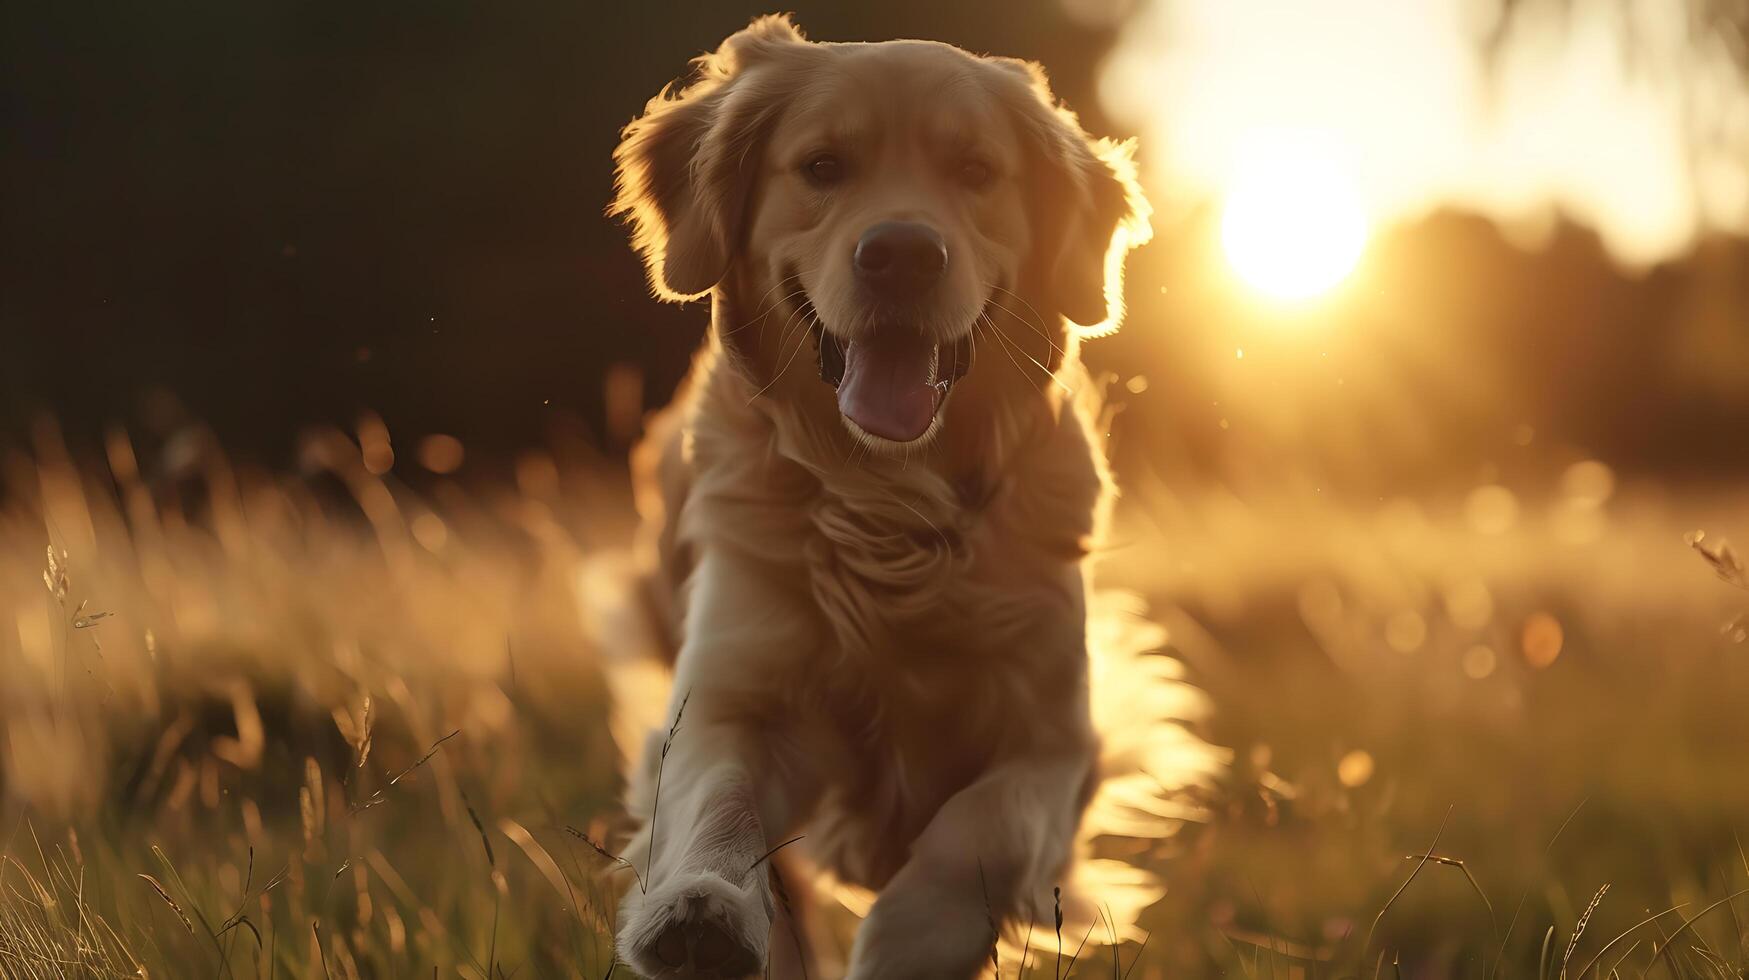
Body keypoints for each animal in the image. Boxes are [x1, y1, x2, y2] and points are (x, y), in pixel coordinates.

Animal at [601, 15, 1189, 980]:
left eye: (977, 172)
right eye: (822, 166)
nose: (902, 254)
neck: (889, 505)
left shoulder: (1058, 741)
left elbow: (980, 832)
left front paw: (913, 941)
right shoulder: (727, 694)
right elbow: (717, 797)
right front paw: (701, 909)